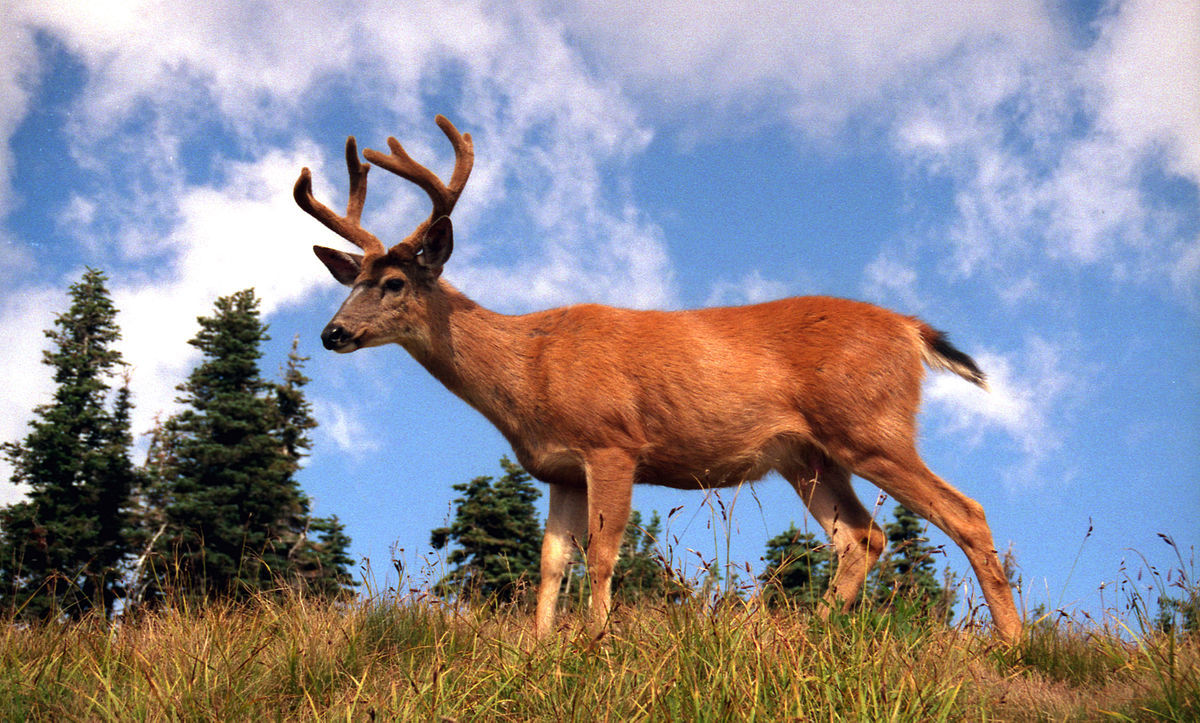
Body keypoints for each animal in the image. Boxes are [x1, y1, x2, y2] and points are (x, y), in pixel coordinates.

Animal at [297, 114, 1022, 643]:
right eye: (350, 282)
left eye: (394, 283)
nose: (332, 333)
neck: (529, 370)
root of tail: (910, 329)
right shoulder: (559, 467)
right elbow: (551, 561)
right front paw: (539, 646)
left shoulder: (612, 441)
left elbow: (603, 550)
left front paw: (595, 641)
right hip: (808, 455)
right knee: (861, 537)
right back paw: (809, 635)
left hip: (869, 423)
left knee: (966, 512)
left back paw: (1012, 643)